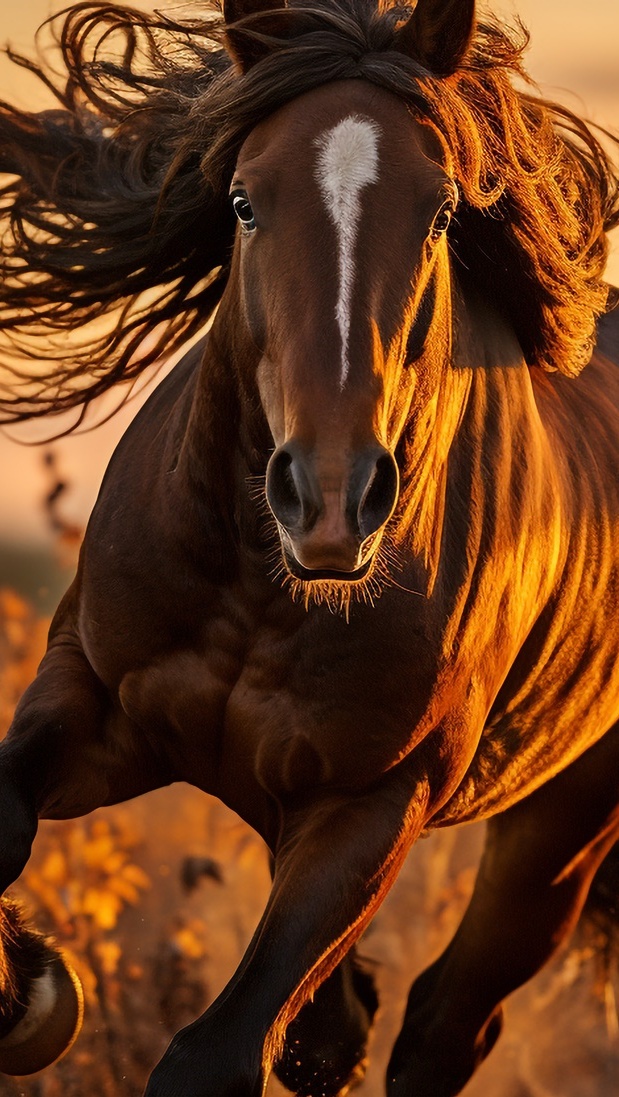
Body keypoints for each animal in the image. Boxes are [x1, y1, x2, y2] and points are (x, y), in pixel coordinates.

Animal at [0, 0, 614, 1092]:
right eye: (243, 201)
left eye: (442, 212)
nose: (330, 500)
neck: (256, 587)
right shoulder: (90, 695)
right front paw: (30, 991)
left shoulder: (369, 804)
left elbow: (216, 1050)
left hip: (559, 823)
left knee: (444, 1021)